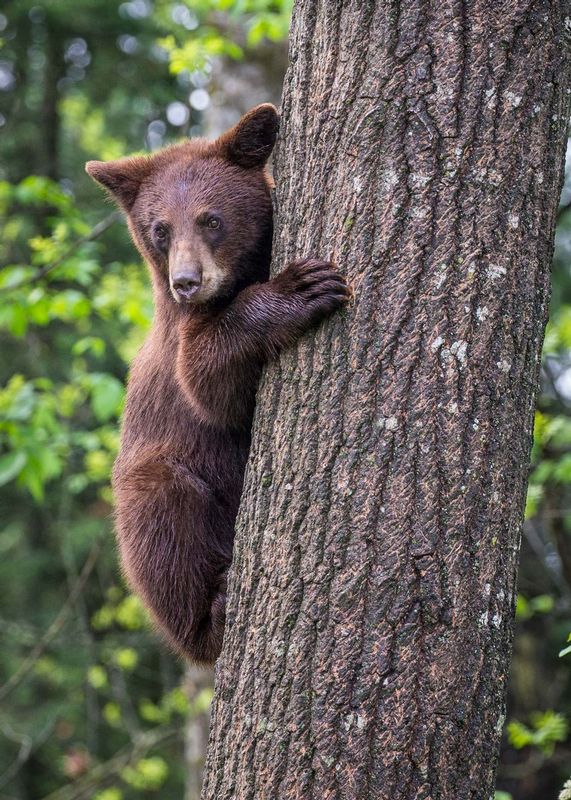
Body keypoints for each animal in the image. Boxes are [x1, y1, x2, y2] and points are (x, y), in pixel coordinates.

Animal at [86, 104, 349, 664]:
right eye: (161, 229)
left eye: (212, 219)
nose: (187, 281)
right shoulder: (180, 334)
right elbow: (208, 381)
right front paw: (303, 286)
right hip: (154, 492)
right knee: (165, 520)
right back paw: (215, 612)